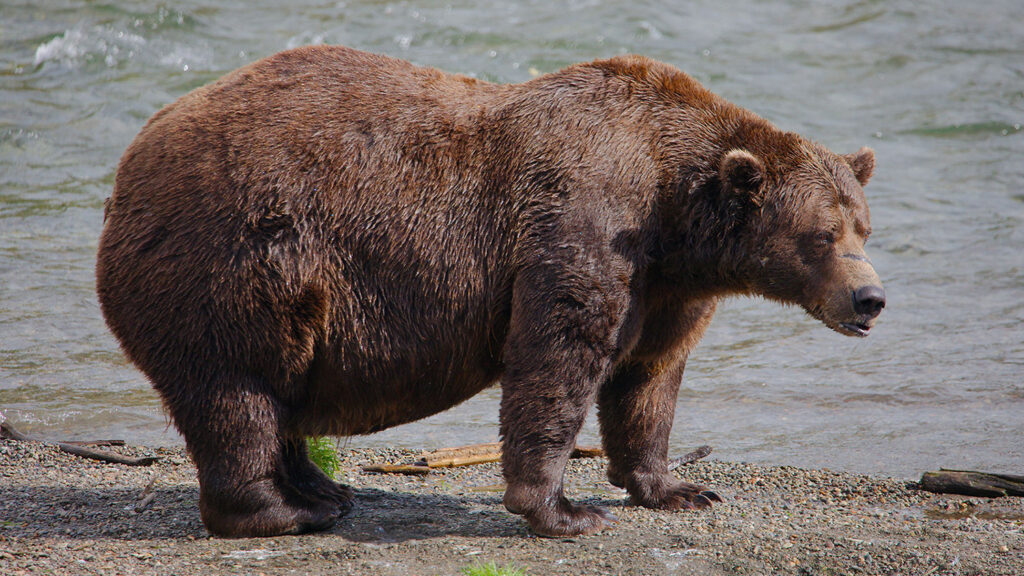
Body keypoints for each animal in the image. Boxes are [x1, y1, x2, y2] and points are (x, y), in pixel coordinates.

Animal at [96, 45, 885, 538]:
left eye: (864, 227)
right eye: (821, 235)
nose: (870, 299)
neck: (675, 212)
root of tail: (128, 166)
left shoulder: (666, 286)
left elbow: (649, 379)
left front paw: (678, 488)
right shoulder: (585, 222)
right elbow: (558, 356)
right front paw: (564, 511)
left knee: (278, 392)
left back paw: (324, 489)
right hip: (234, 260)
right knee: (238, 392)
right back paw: (284, 511)